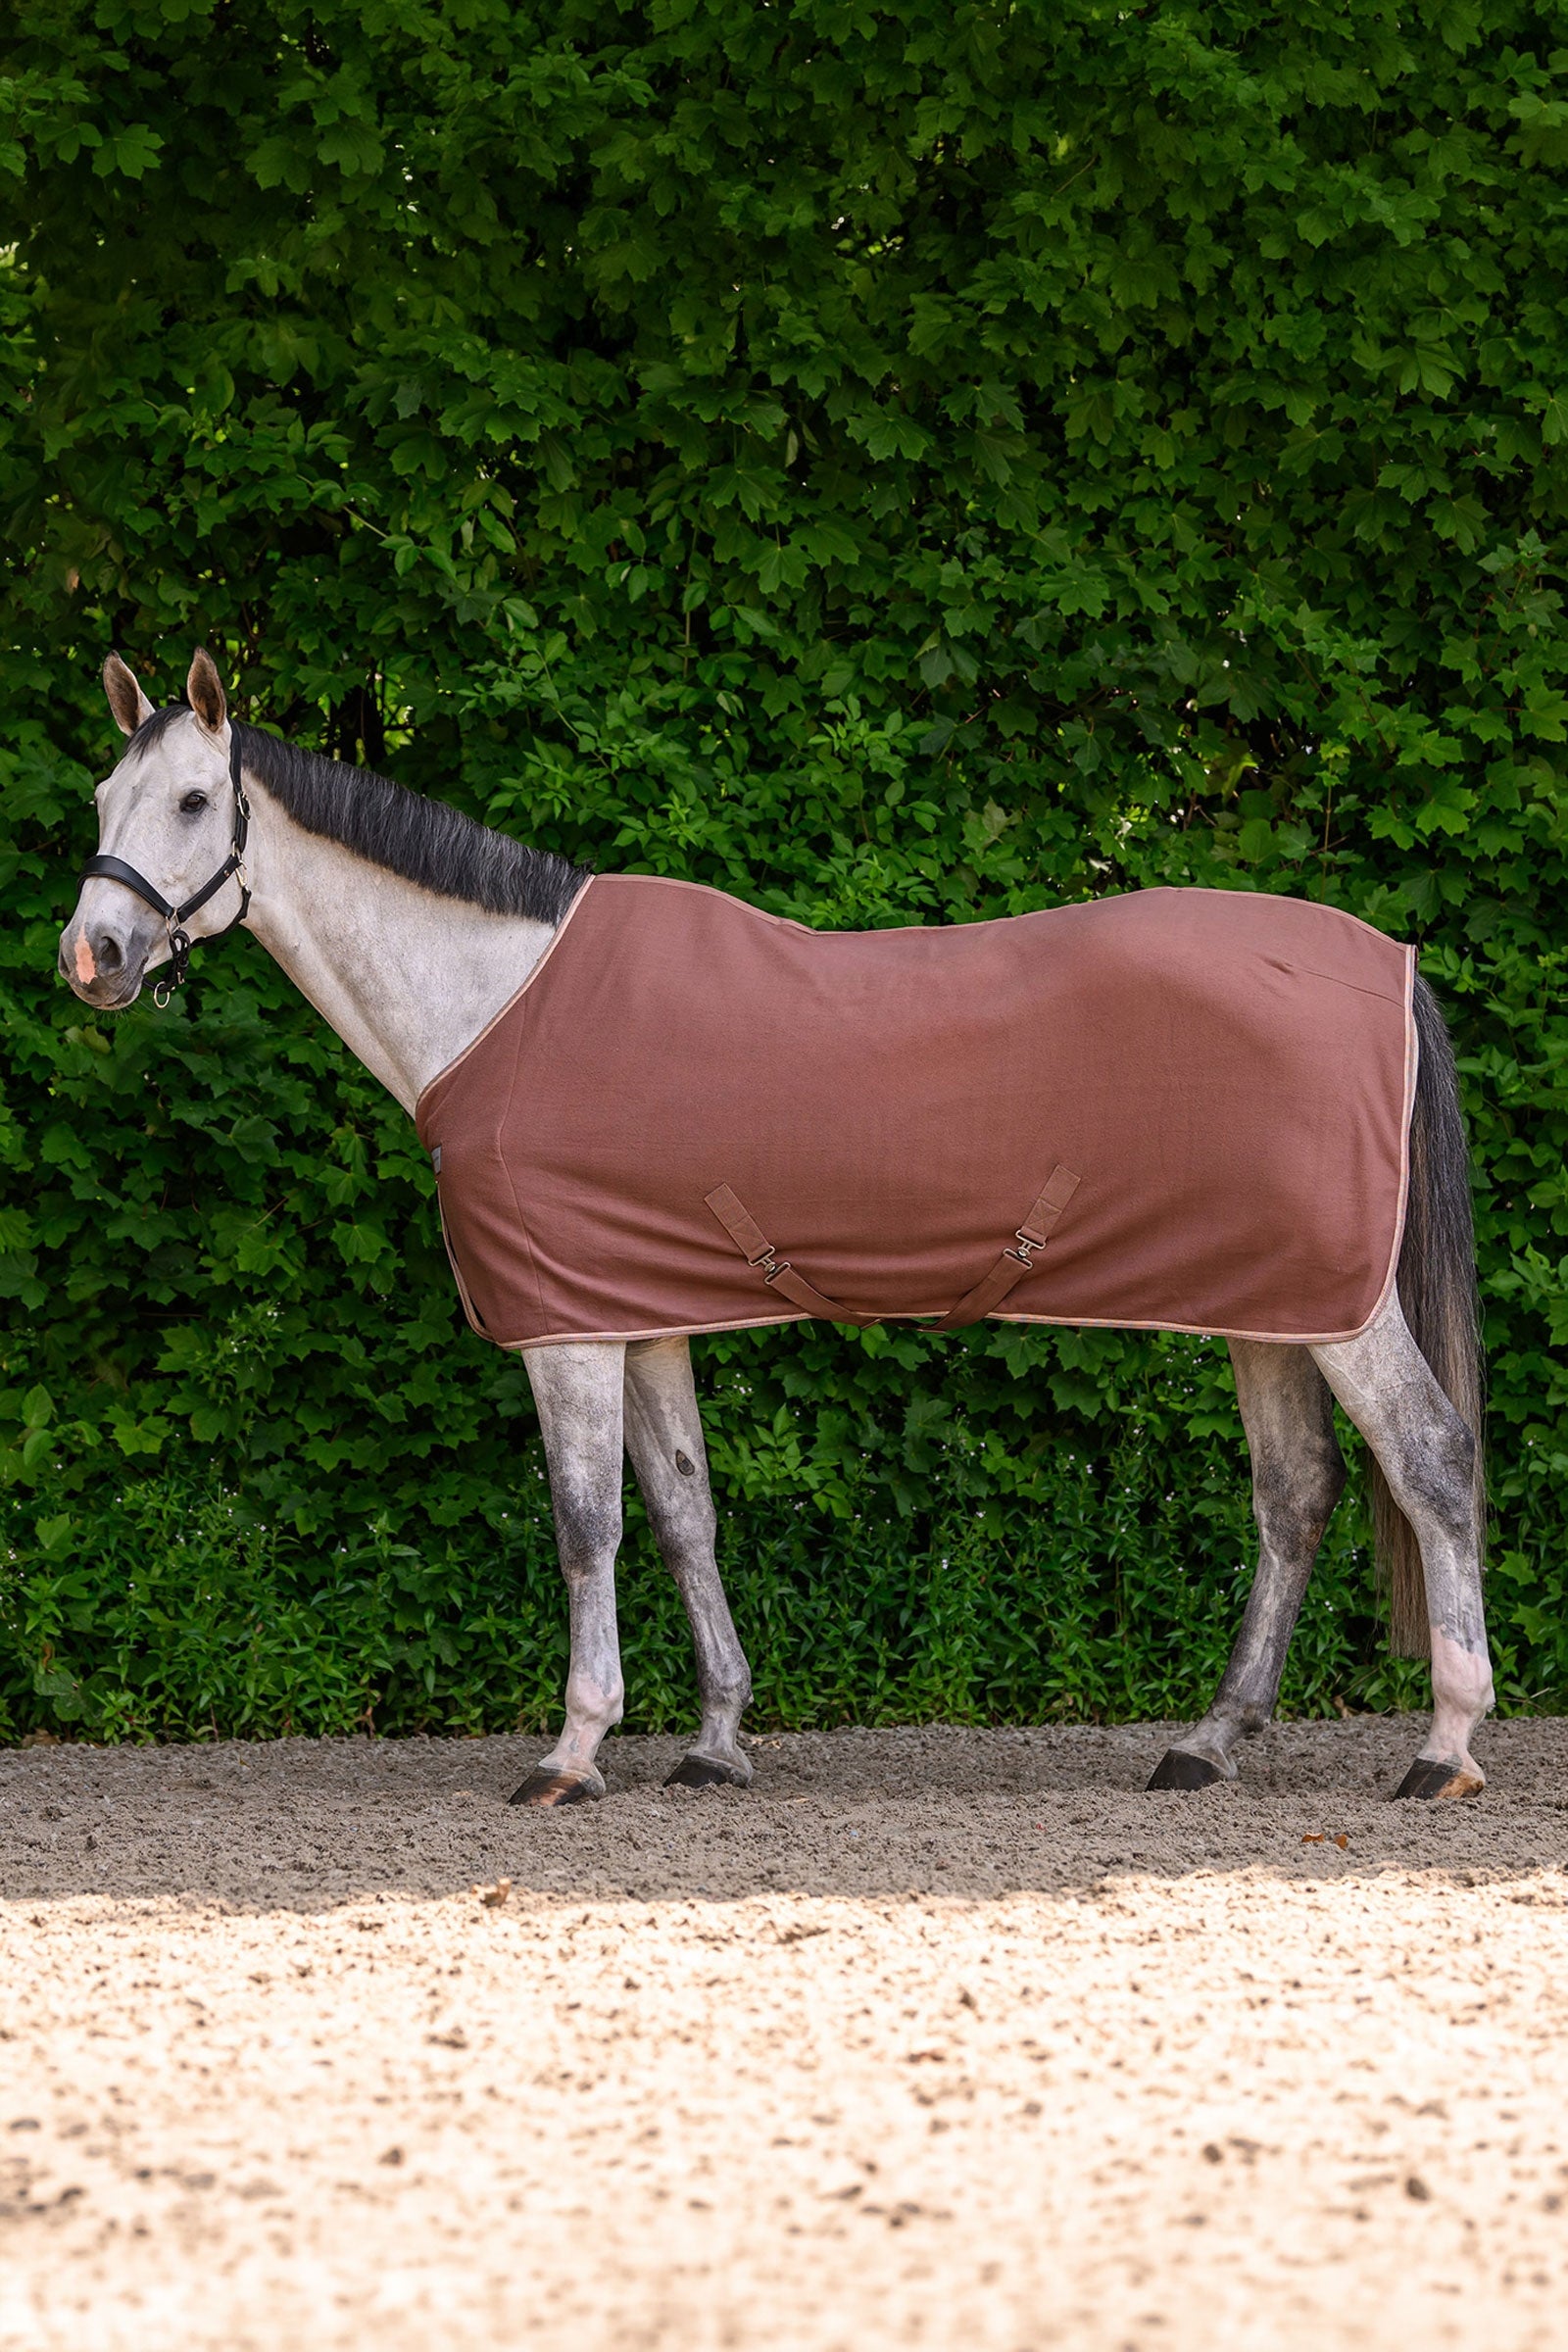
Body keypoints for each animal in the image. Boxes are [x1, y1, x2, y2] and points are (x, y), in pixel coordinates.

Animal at [57, 648, 1494, 1805]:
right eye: (100, 803)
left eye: (193, 802)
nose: (94, 958)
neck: (498, 998)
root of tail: (1390, 962)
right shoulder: (639, 1313)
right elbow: (683, 1513)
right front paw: (714, 1743)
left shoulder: (566, 1330)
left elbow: (586, 1525)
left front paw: (573, 1753)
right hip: (1269, 1307)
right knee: (1295, 1497)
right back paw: (1207, 1741)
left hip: (1342, 1310)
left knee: (1430, 1460)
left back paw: (1444, 1747)